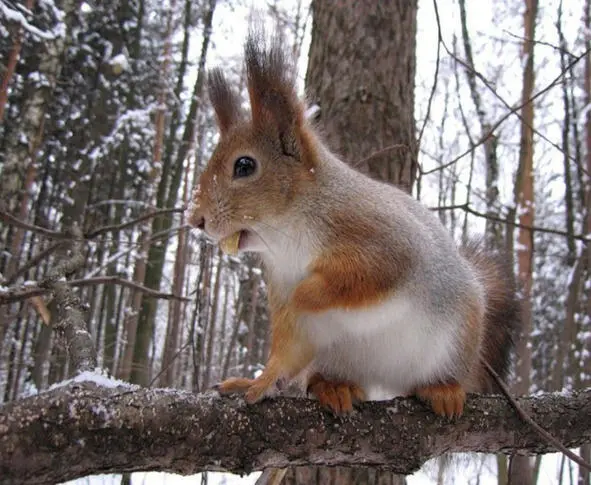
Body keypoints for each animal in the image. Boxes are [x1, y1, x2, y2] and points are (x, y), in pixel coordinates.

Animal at [187, 31, 520, 416]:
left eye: (244, 166)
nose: (195, 219)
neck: (288, 236)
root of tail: (386, 379)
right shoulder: (284, 291)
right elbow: (287, 351)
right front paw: (258, 381)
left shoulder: (384, 240)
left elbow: (365, 276)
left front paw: (305, 293)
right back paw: (333, 386)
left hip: (456, 338)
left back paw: (443, 389)